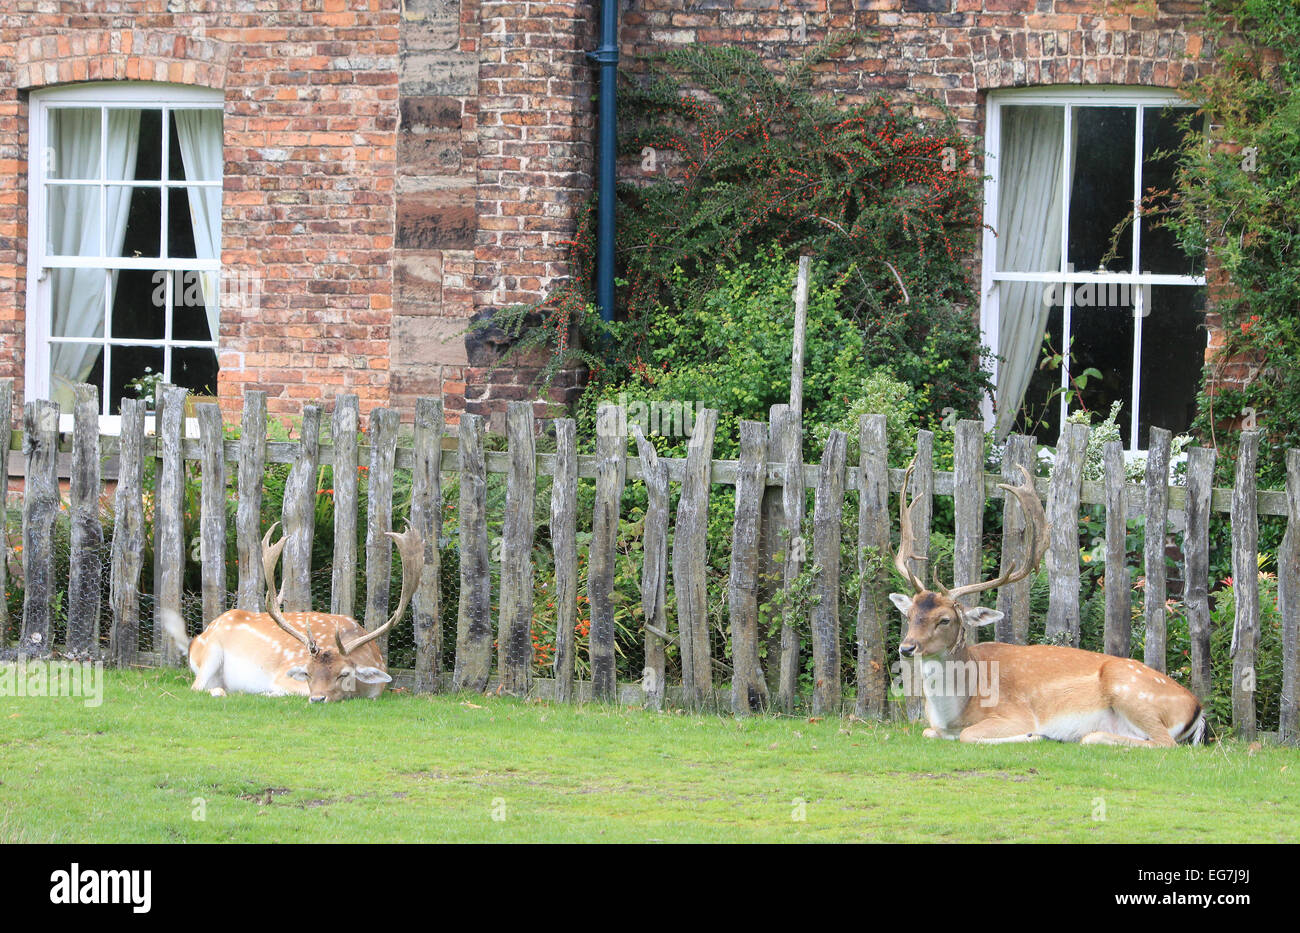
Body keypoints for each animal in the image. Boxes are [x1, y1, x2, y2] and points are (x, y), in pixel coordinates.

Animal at [162, 524, 424, 702]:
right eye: (307, 672)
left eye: (344, 674)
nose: (317, 698)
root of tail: (198, 638)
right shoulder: (283, 676)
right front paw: (268, 693)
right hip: (211, 652)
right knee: (197, 686)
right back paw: (223, 691)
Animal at [889, 461, 1204, 747]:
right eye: (911, 614)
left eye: (945, 619)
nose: (907, 648)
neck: (956, 712)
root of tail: (1197, 707)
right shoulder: (934, 727)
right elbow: (928, 731)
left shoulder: (1014, 712)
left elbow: (970, 736)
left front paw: (1034, 735)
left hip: (1130, 690)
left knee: (1163, 742)